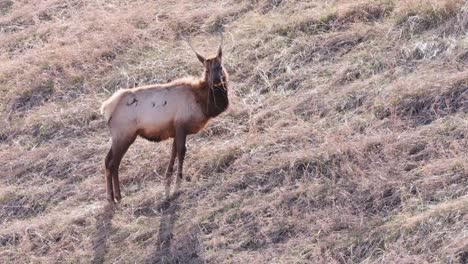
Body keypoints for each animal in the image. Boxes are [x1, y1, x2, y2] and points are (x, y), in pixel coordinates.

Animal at [100, 36, 229, 203]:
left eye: (220, 66)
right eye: (206, 70)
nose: (216, 82)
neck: (203, 102)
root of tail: (106, 108)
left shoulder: (175, 130)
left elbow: (173, 153)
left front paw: (167, 180)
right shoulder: (181, 126)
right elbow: (181, 152)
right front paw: (178, 183)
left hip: (119, 137)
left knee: (107, 160)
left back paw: (112, 196)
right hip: (124, 135)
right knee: (113, 163)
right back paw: (115, 197)